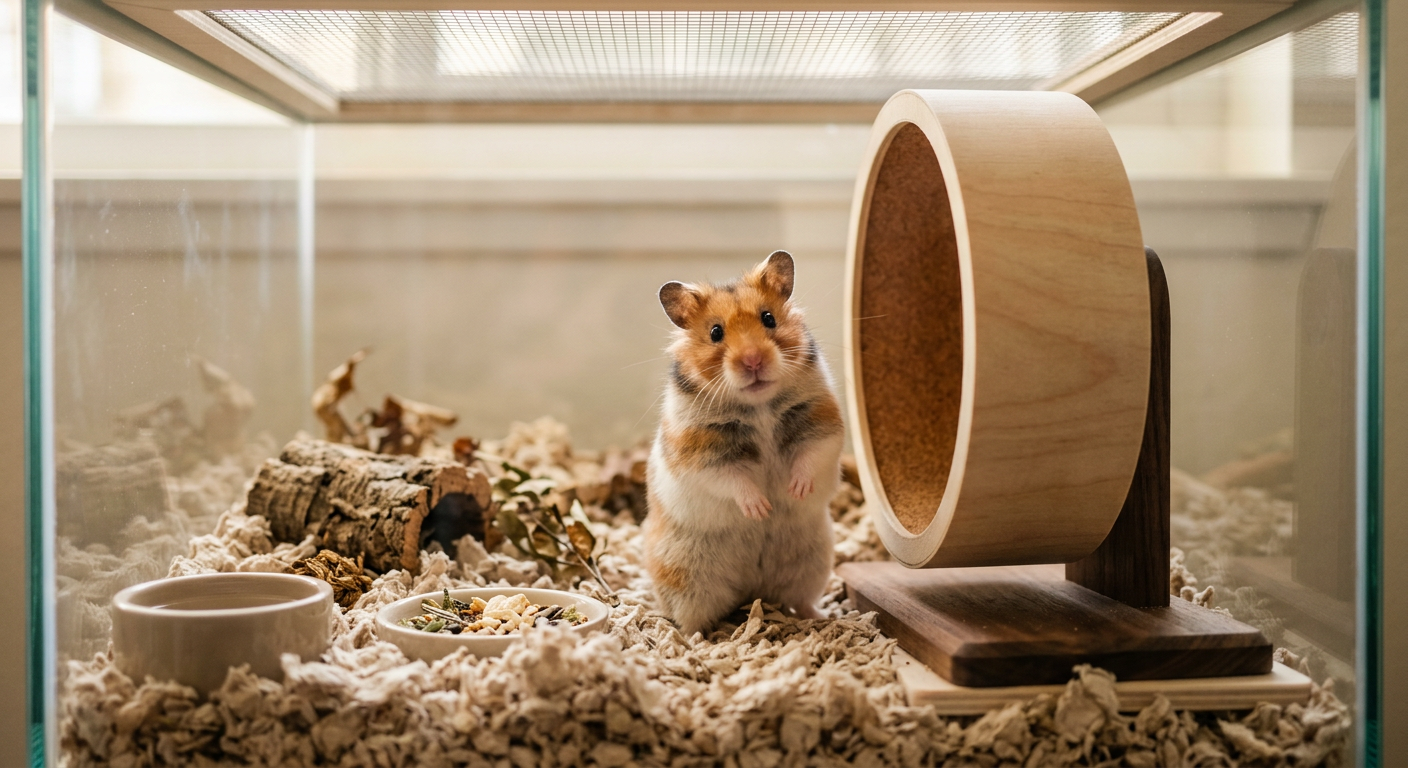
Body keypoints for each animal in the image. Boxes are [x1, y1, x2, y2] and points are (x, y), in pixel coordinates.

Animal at [643, 250, 844, 636]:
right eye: (715, 332)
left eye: (768, 318)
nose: (753, 361)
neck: (759, 406)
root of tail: (752, 588)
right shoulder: (701, 453)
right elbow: (734, 480)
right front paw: (761, 509)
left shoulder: (821, 423)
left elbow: (809, 458)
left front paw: (795, 491)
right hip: (687, 577)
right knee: (692, 618)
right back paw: (696, 639)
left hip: (812, 562)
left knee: (799, 600)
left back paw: (820, 617)